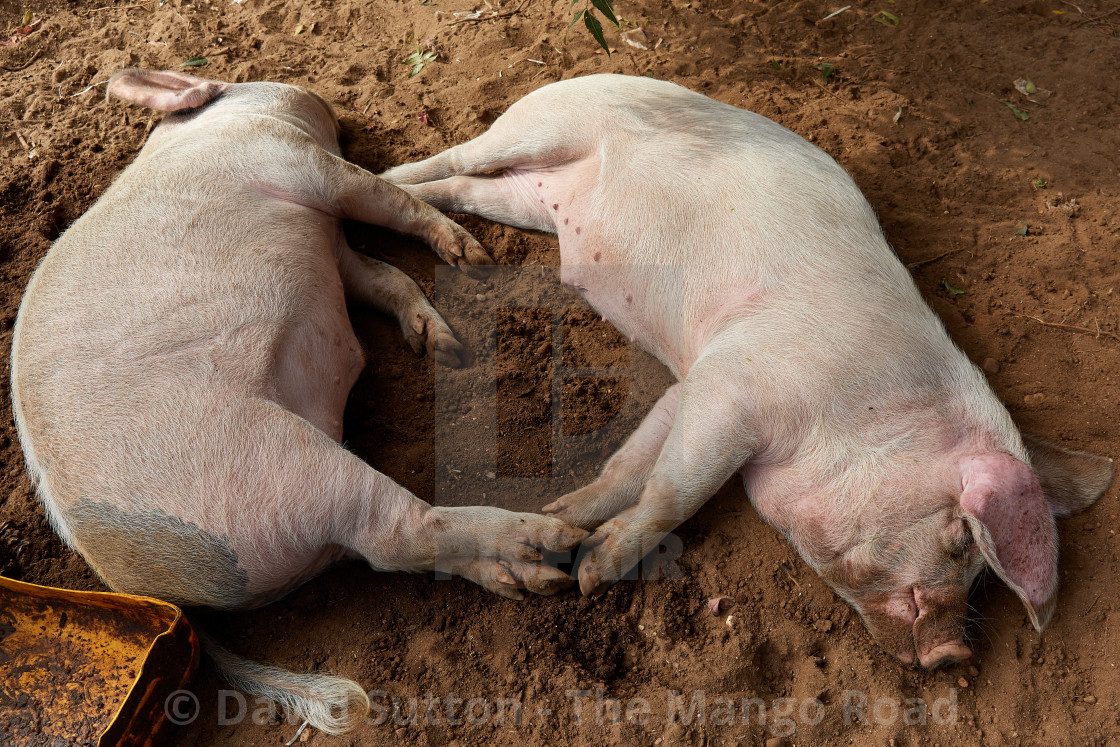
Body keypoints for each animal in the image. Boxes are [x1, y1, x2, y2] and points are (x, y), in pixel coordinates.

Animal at [10, 69, 586, 734]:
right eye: (245, 78)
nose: (324, 99)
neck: (206, 130)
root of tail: (143, 580)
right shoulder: (305, 167)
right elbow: (391, 203)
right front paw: (475, 260)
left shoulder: (333, 246)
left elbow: (384, 277)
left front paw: (444, 348)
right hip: (278, 463)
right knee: (398, 533)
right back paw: (556, 543)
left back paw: (530, 581)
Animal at [383, 74, 1111, 671]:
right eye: (962, 539)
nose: (951, 654)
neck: (862, 400)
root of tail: (594, 73)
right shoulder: (740, 388)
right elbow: (678, 490)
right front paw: (590, 573)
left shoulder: (698, 381)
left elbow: (634, 465)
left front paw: (564, 523)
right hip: (543, 125)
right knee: (455, 157)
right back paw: (388, 177)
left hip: (534, 199)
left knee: (468, 189)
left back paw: (453, 237)